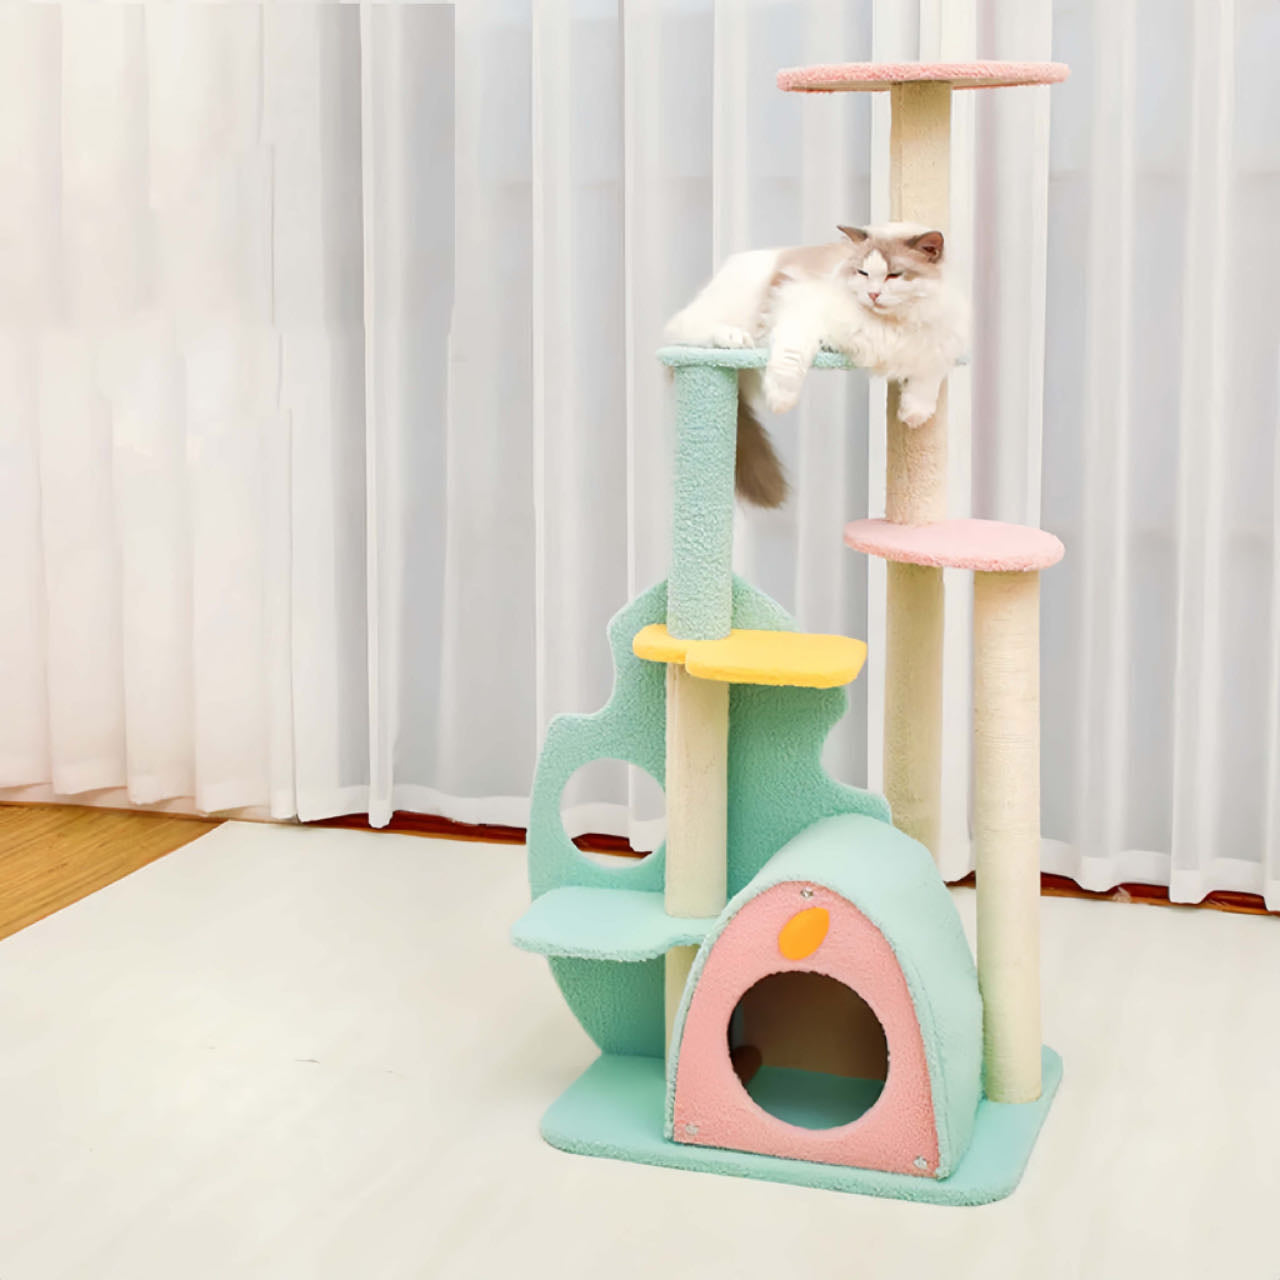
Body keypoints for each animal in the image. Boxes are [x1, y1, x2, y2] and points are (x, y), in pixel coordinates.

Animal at [665, 225, 962, 504]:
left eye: (894, 275)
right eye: (863, 273)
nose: (873, 295)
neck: (889, 326)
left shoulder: (942, 342)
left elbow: (928, 376)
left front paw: (914, 414)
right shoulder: (801, 308)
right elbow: (789, 360)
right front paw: (781, 400)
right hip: (730, 313)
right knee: (683, 330)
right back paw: (732, 339)